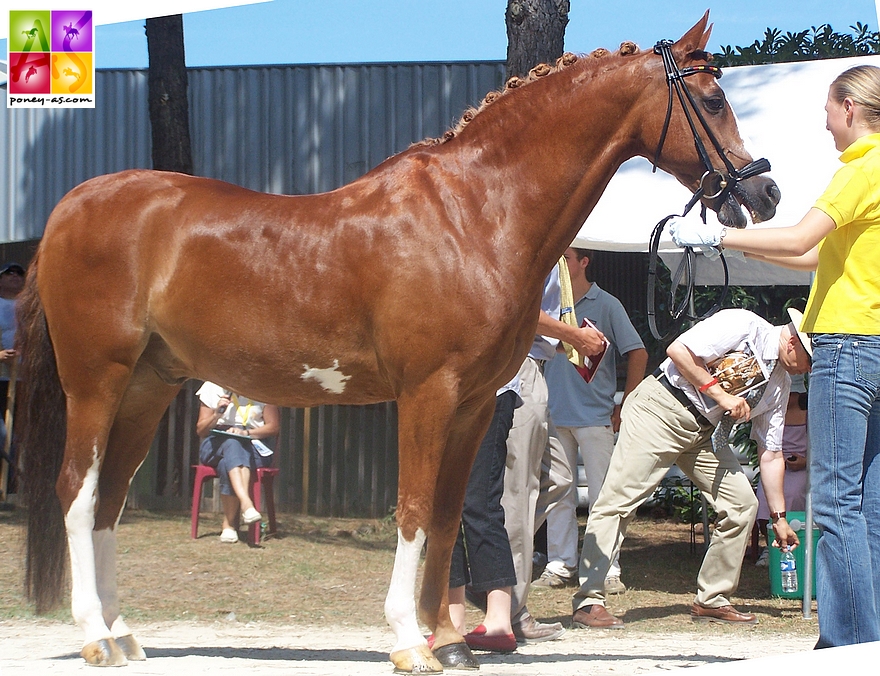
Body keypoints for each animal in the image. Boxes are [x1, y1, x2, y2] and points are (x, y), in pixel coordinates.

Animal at [18, 13, 776, 672]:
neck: (474, 213)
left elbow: (445, 520)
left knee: (110, 499)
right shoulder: (427, 395)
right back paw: (93, 636)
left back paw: (124, 635)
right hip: (96, 381)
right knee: (76, 490)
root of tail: (68, 209)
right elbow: (412, 512)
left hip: (147, 385)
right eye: (712, 100)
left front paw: (452, 641)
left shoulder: (472, 406)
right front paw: (411, 642)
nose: (764, 192)